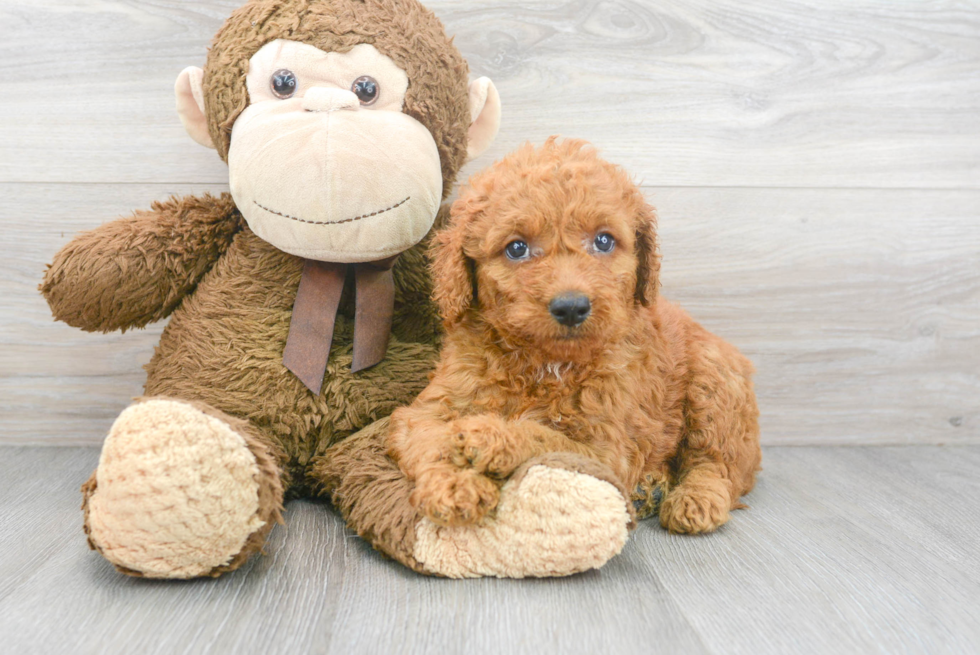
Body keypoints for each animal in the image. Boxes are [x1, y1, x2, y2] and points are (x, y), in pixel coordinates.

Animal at [386, 137, 760, 532]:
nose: (571, 307)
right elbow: (428, 438)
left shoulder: (605, 449)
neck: (542, 362)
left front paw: (488, 436)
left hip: (715, 381)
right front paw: (455, 484)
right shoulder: (430, 407)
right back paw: (651, 488)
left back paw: (695, 500)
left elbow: (544, 436)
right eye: (516, 248)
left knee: (719, 462)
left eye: (604, 241)